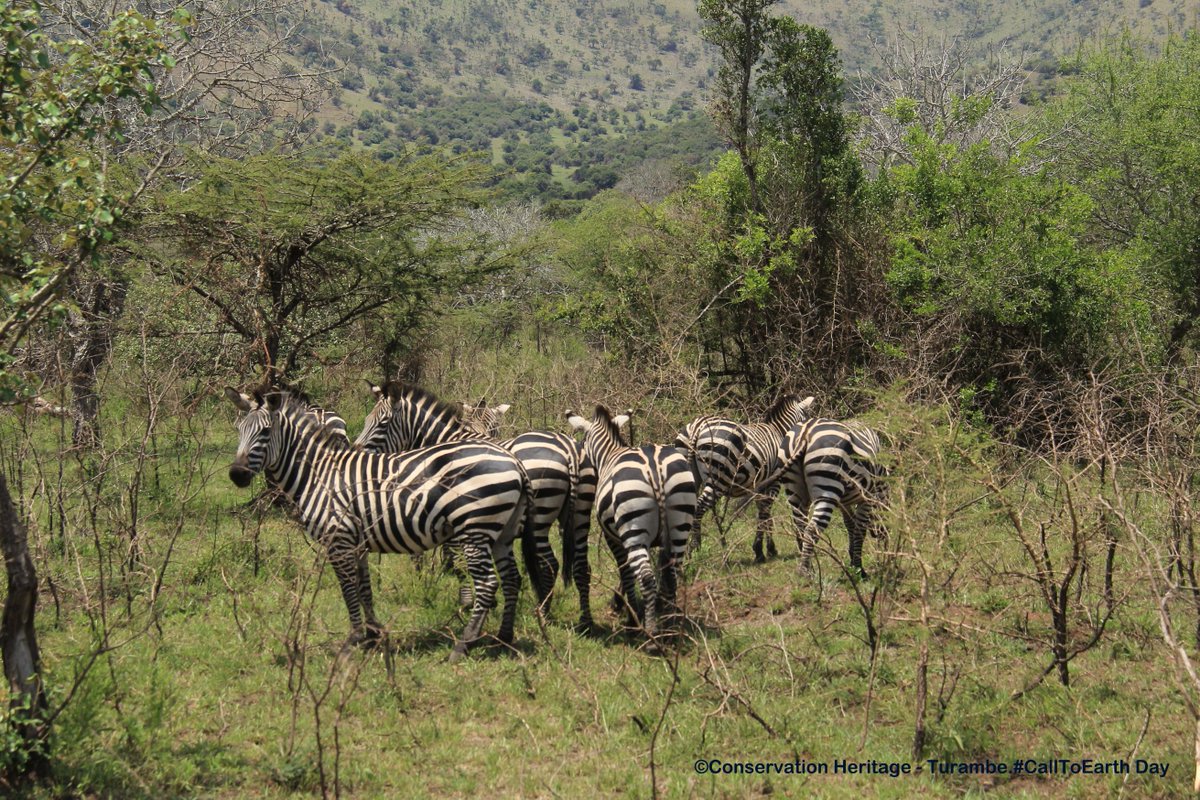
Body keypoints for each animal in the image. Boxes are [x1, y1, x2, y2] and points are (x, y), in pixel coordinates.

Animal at [223, 387, 534, 661]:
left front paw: (353, 641)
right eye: (239, 430)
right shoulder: (356, 542)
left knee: (487, 582)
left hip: (474, 529)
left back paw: (463, 645)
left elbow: (349, 590)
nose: (237, 474)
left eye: (265, 432)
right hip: (501, 532)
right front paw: (373, 634)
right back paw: (503, 638)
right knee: (511, 578)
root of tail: (514, 461)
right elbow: (364, 588)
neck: (319, 474)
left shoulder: (338, 540)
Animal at [566, 405, 696, 640]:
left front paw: (630, 615)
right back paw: (670, 627)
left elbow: (625, 570)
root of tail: (655, 468)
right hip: (680, 523)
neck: (609, 454)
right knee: (672, 574)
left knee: (646, 577)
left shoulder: (615, 537)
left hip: (633, 529)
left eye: (583, 440)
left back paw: (650, 632)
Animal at [674, 394, 814, 561]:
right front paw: (761, 551)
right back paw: (695, 548)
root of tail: (698, 425)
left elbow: (764, 512)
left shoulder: (760, 484)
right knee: (700, 506)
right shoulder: (773, 482)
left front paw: (768, 549)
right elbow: (765, 512)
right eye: (808, 420)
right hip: (719, 477)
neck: (779, 432)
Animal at [775, 417, 888, 577]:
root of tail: (805, 432)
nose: (883, 536)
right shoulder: (867, 496)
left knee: (800, 526)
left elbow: (850, 525)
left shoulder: (844, 502)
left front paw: (852, 562)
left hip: (794, 489)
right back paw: (805, 572)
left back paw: (808, 567)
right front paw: (859, 569)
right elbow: (860, 529)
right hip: (827, 486)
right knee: (812, 529)